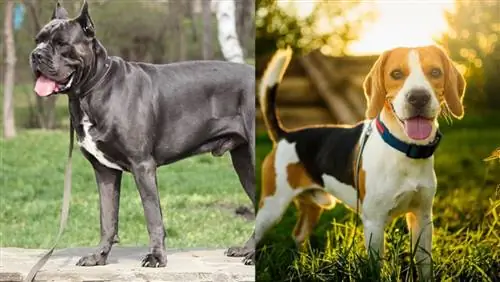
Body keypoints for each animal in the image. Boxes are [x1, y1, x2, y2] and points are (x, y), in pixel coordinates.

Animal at [29, 1, 256, 266]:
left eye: (62, 43)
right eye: (38, 40)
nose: (36, 55)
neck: (92, 90)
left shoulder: (142, 166)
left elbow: (152, 215)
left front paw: (157, 256)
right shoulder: (104, 171)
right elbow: (107, 218)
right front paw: (99, 256)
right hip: (244, 163)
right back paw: (248, 250)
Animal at [256, 46, 466, 280]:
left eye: (436, 72)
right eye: (396, 74)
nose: (418, 97)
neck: (404, 149)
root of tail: (285, 135)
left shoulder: (422, 218)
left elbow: (425, 264)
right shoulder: (374, 223)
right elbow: (375, 268)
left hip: (312, 207)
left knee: (298, 235)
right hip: (272, 208)